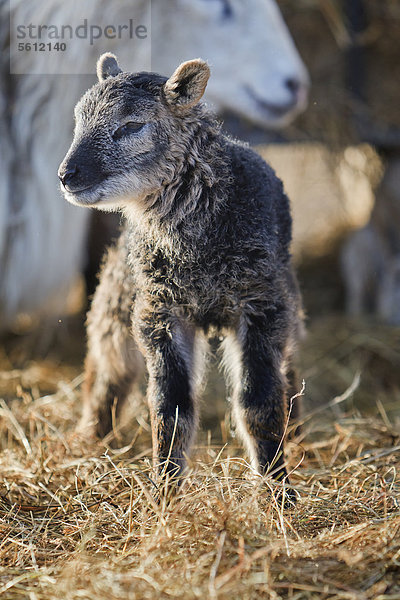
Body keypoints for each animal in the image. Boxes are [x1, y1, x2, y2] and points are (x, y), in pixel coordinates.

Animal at [58, 54, 304, 496]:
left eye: (131, 126)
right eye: (78, 121)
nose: (68, 175)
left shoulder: (260, 305)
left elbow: (258, 403)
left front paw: (278, 490)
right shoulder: (160, 312)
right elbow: (170, 407)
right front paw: (165, 491)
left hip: (286, 297)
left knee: (288, 372)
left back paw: (295, 434)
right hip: (118, 294)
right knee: (107, 368)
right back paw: (88, 439)